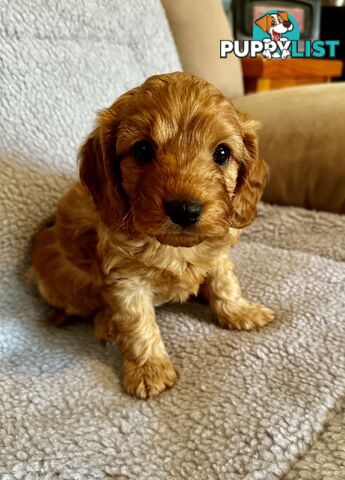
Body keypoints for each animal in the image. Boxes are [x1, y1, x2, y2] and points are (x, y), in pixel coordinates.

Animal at [32, 72, 274, 398]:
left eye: (222, 153)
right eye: (143, 150)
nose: (185, 210)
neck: (176, 248)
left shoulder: (218, 252)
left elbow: (225, 283)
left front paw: (240, 312)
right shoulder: (124, 279)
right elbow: (137, 325)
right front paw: (149, 370)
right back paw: (107, 324)